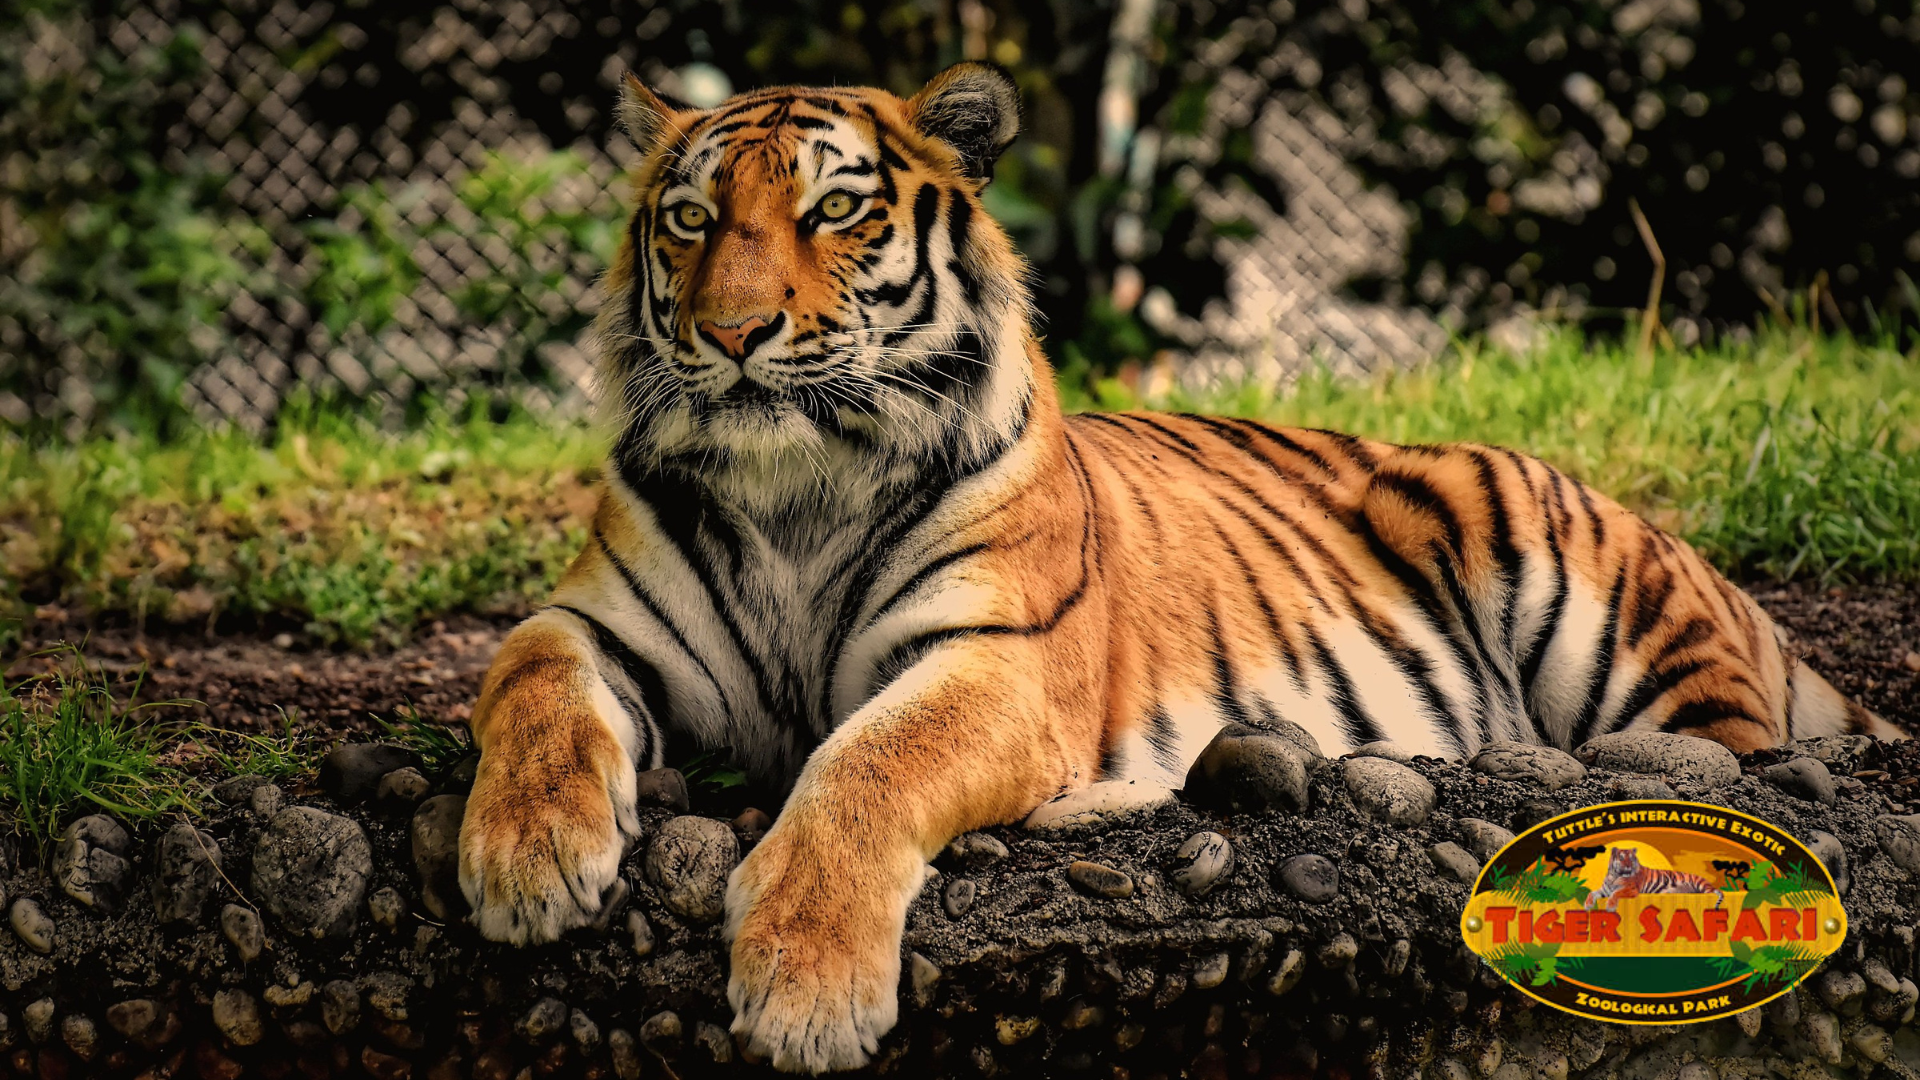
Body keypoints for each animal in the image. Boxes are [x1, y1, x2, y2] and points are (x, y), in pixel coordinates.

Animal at [454, 62, 1900, 1072]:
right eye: (692, 220)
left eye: (836, 210)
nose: (734, 332)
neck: (796, 485)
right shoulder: (600, 621)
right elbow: (526, 679)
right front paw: (528, 863)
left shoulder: (996, 663)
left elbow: (865, 766)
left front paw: (806, 988)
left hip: (1598, 602)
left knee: (1727, 765)